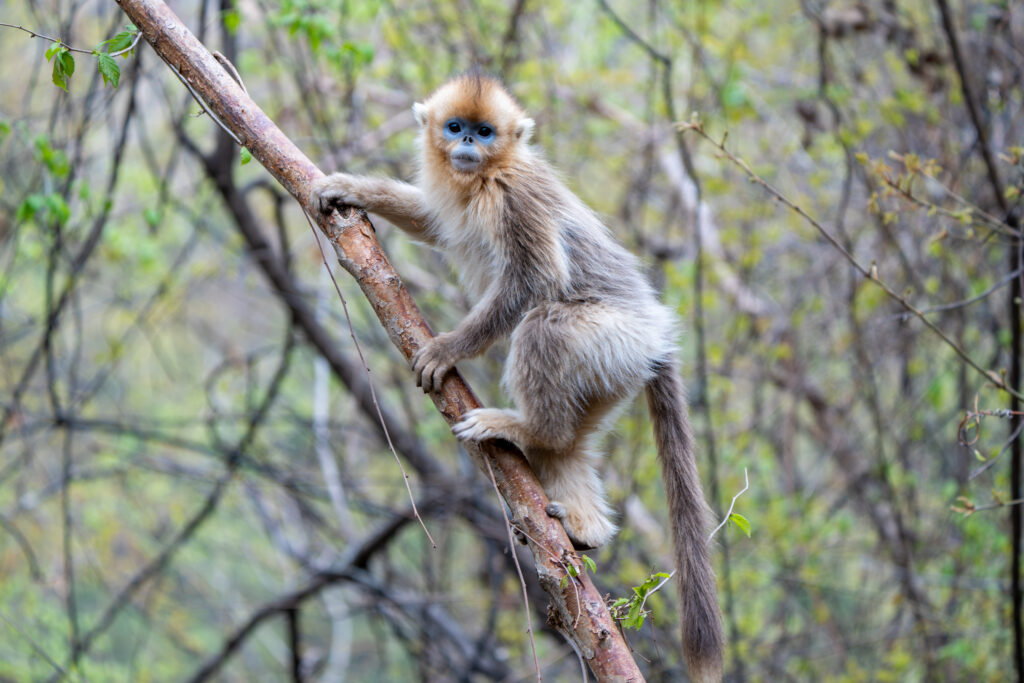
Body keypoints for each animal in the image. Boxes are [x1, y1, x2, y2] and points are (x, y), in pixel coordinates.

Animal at [312, 74, 723, 682]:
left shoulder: (512, 192)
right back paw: (582, 525)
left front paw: (446, 348)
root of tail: (657, 336)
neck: (480, 176)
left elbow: (535, 280)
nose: (466, 144)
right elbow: (433, 221)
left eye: (485, 132)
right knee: (568, 446)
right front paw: (352, 189)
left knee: (542, 327)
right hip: (616, 370)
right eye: (455, 127)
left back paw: (527, 431)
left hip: (612, 338)